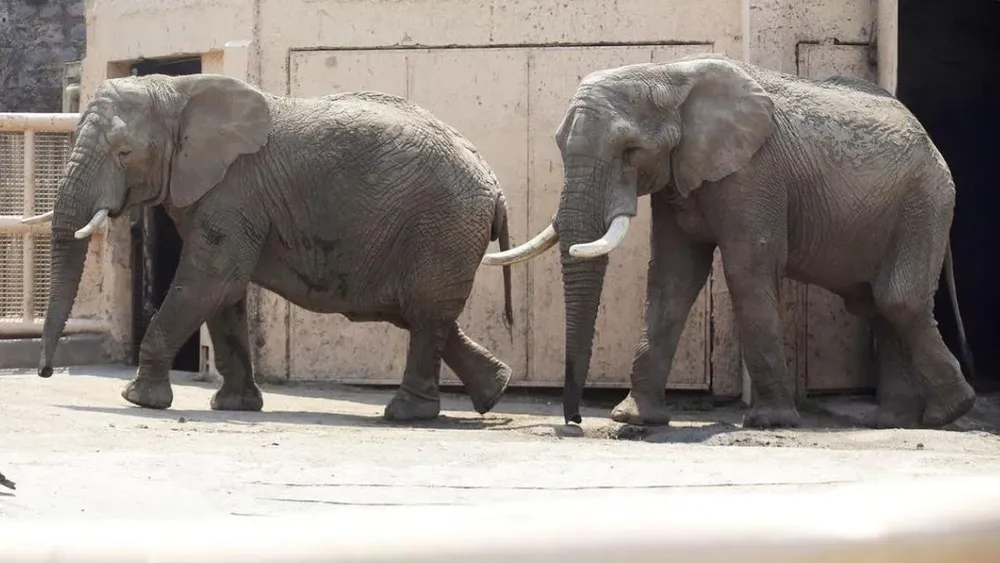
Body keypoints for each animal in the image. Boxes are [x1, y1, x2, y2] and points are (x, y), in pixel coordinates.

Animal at [21, 73, 516, 422]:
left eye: (124, 152)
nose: (45, 372)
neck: (179, 92)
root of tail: (496, 189)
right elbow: (223, 295)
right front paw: (234, 406)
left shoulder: (235, 189)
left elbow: (211, 281)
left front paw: (139, 400)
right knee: (420, 312)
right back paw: (494, 392)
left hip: (444, 225)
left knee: (425, 315)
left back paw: (405, 415)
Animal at [482, 53, 976, 430]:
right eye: (559, 145)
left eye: (630, 151)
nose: (575, 422)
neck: (669, 75)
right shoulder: (678, 175)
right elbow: (673, 277)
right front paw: (635, 418)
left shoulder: (753, 173)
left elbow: (746, 271)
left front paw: (771, 422)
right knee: (872, 304)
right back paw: (893, 421)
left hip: (926, 201)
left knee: (898, 300)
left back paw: (950, 413)